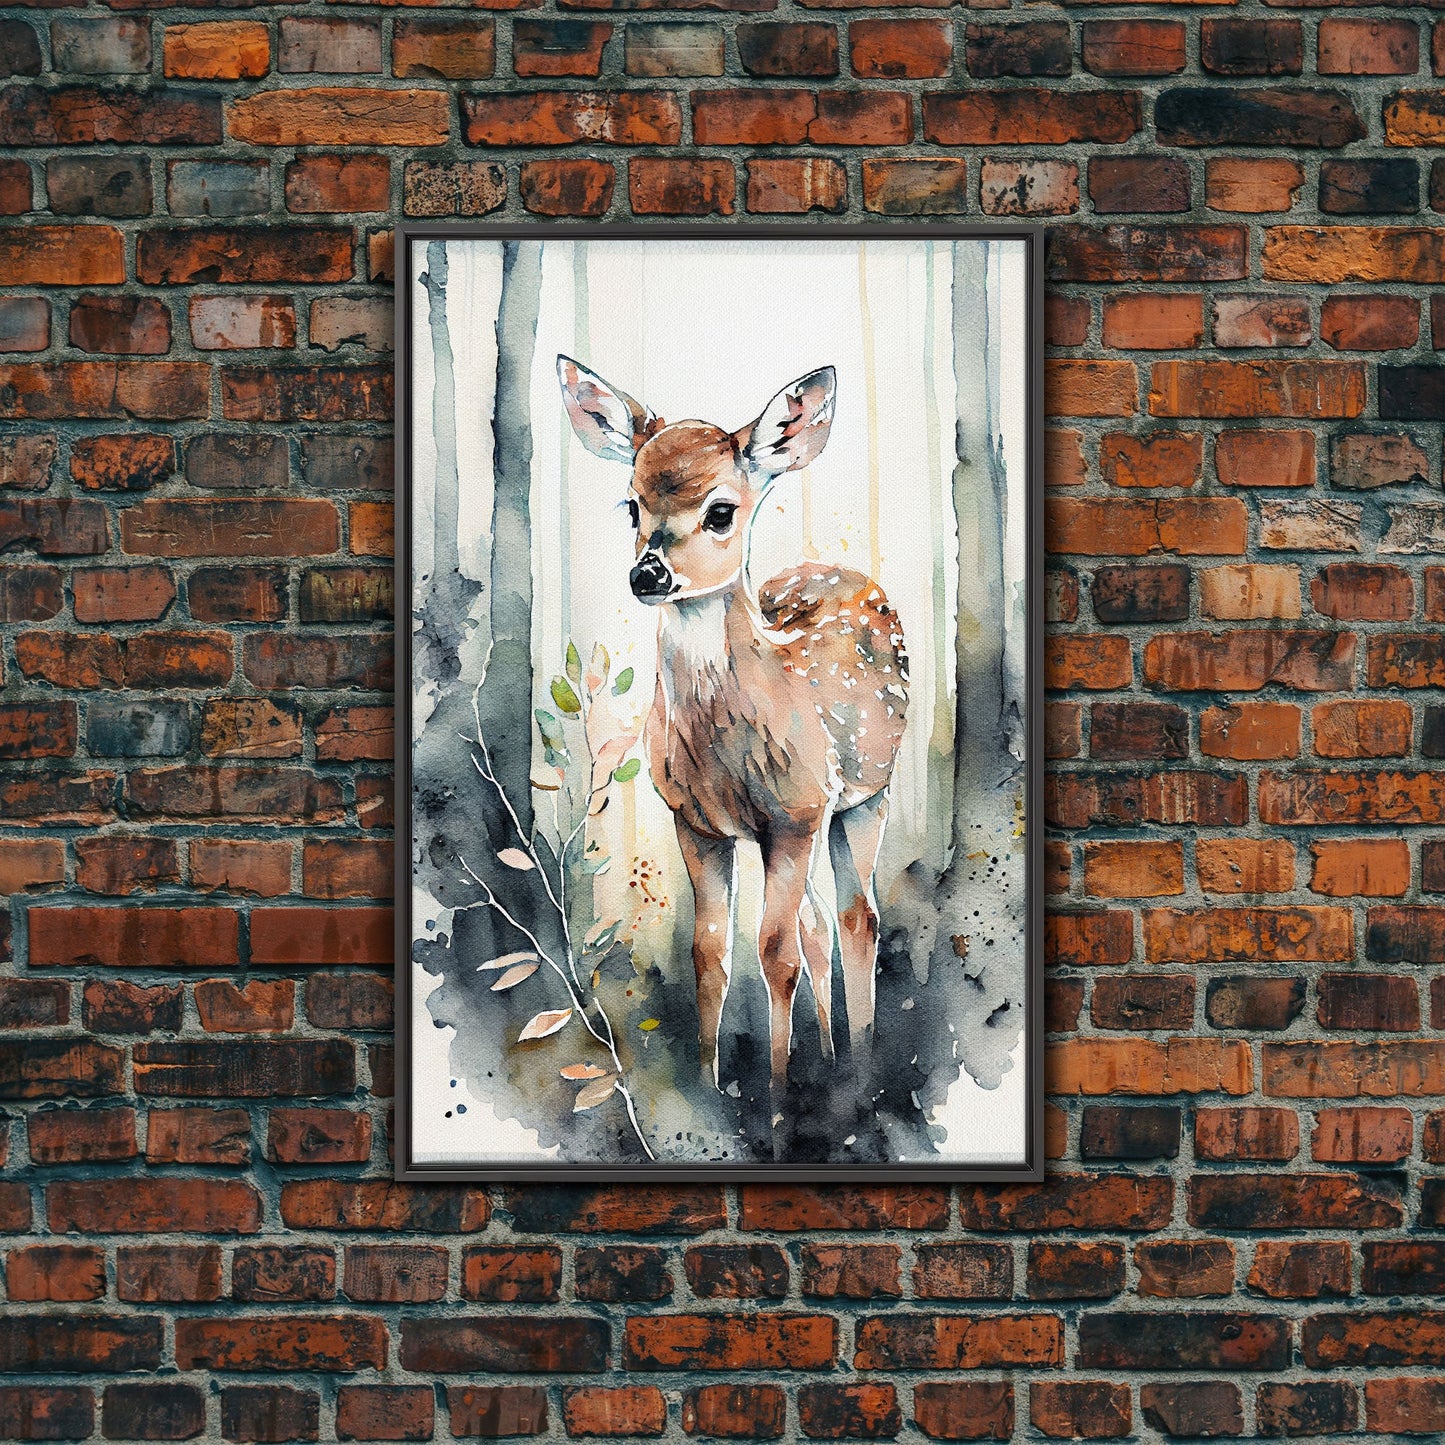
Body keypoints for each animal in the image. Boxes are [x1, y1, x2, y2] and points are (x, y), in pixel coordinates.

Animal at [558, 356, 909, 1119]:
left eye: (720, 510)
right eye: (631, 506)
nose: (648, 573)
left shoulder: (797, 810)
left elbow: (773, 951)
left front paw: (775, 1103)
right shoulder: (696, 821)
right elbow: (711, 952)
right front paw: (706, 1088)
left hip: (865, 794)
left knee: (855, 918)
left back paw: (859, 1068)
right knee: (818, 924)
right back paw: (831, 1056)